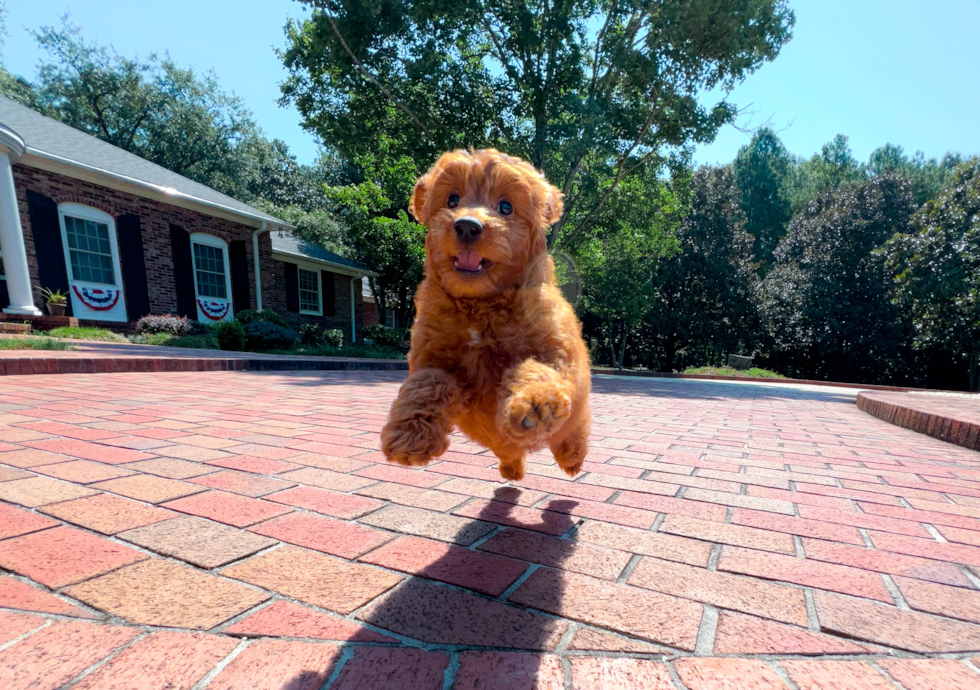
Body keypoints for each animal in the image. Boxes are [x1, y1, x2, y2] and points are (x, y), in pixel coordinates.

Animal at [378, 149, 588, 478]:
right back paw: (512, 469)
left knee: (575, 426)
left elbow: (538, 369)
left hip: (576, 408)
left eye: (506, 207)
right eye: (452, 200)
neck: (482, 303)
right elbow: (426, 384)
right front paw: (409, 436)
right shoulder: (432, 354)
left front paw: (536, 406)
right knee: (511, 453)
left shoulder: (554, 347)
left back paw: (572, 456)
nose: (467, 226)